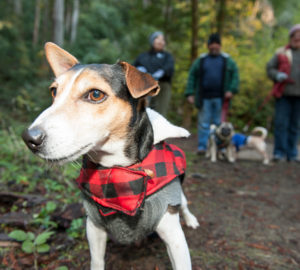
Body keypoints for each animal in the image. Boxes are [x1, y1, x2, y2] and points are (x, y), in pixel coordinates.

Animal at [21, 42, 199, 270]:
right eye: (54, 91)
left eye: (96, 94)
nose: (29, 138)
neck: (116, 170)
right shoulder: (94, 226)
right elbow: (97, 261)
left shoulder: (174, 236)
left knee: (184, 203)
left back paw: (191, 219)